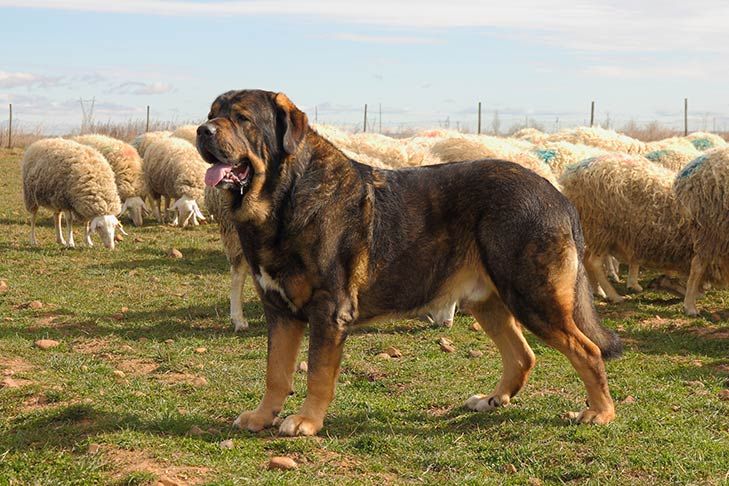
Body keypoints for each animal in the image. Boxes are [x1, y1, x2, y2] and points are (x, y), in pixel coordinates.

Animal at [198, 90, 620, 436]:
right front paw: (263, 416)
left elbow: (317, 372)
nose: (202, 130)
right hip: (489, 301)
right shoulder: (279, 310)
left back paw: (600, 413)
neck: (283, 198)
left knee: (587, 351)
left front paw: (306, 421)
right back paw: (492, 400)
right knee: (522, 355)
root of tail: (557, 196)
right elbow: (275, 371)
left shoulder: (329, 310)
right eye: (212, 113)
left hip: (533, 297)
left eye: (242, 118)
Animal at [556, 154, 692, 302]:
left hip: (592, 230)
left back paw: (598, 291)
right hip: (602, 228)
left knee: (586, 260)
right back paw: (614, 296)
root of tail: (570, 176)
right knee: (594, 263)